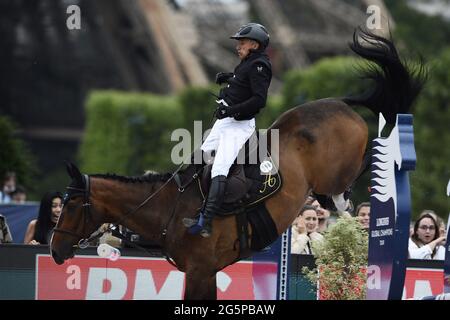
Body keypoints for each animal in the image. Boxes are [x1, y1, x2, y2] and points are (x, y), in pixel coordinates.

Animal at [50, 30, 426, 300]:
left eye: (71, 206)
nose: (54, 251)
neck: (166, 206)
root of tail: (341, 102)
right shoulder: (201, 272)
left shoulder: (200, 269)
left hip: (336, 169)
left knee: (360, 166)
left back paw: (360, 184)